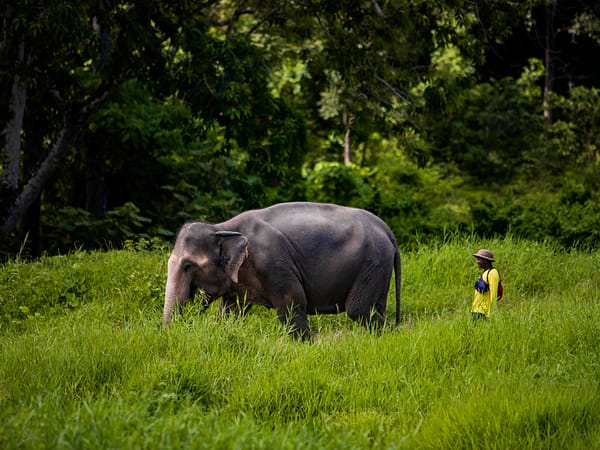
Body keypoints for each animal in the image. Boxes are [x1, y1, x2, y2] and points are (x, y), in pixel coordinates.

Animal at [162, 202, 400, 340]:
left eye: (188, 265)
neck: (222, 227)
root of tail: (387, 230)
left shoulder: (272, 262)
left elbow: (292, 302)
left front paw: (305, 347)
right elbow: (231, 311)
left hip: (373, 261)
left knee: (358, 309)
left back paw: (394, 336)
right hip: (378, 267)